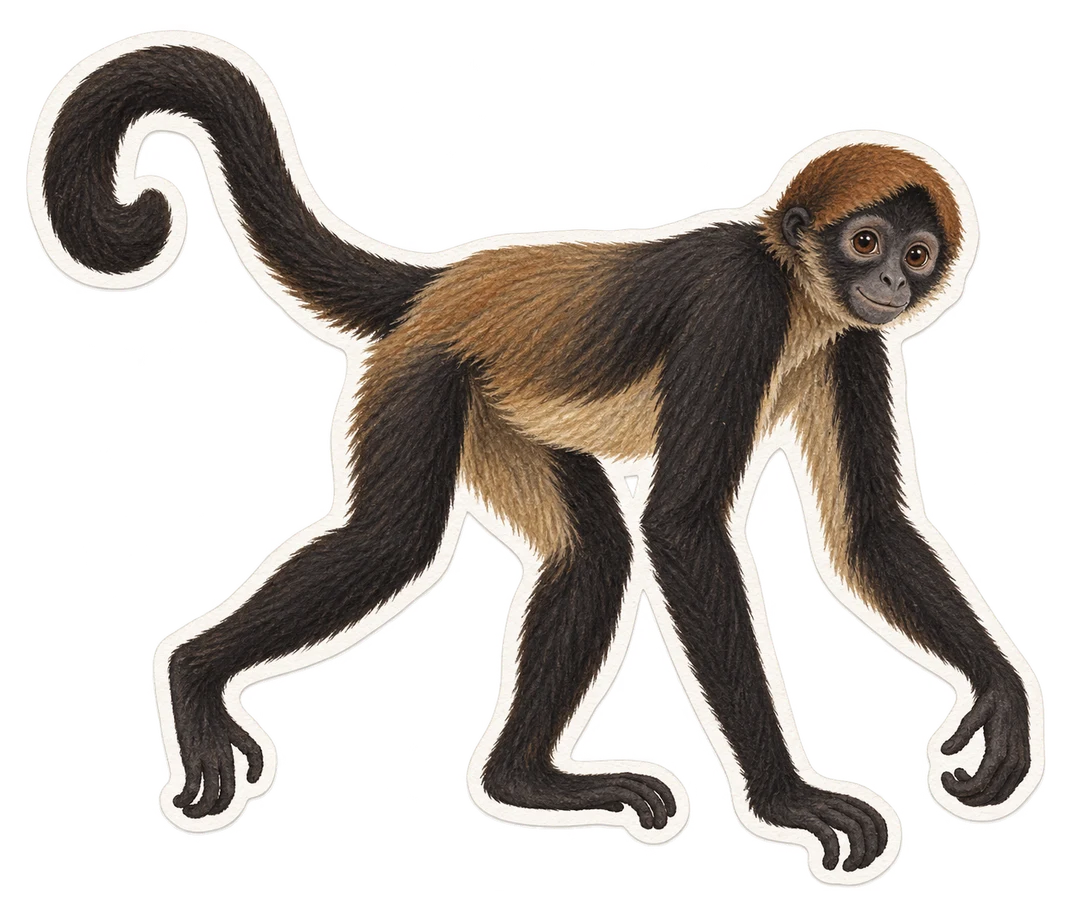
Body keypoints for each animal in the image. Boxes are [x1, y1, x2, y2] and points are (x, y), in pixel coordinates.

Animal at [30, 35, 1038, 878]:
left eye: (917, 253)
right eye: (865, 241)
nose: (889, 280)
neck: (796, 292)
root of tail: (444, 284)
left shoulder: (852, 342)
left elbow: (868, 531)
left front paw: (1000, 696)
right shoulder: (736, 308)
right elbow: (680, 527)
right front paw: (788, 799)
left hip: (492, 411)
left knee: (592, 549)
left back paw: (523, 781)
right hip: (425, 377)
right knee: (394, 542)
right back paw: (195, 675)